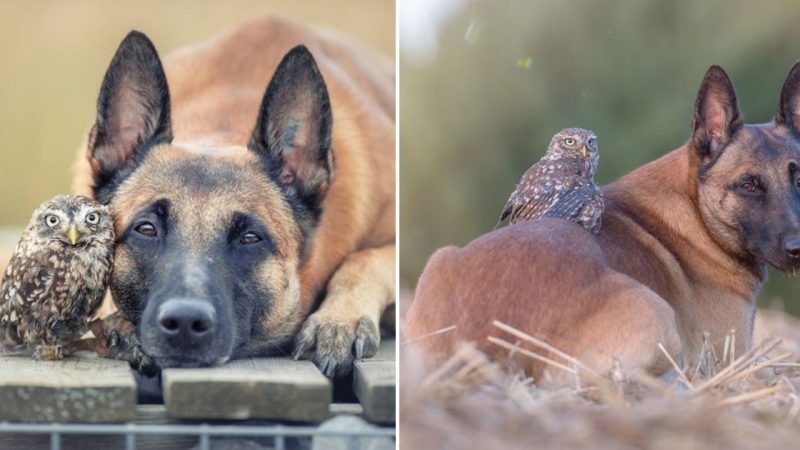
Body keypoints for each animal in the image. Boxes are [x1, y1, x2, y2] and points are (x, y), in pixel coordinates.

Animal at [71, 16, 394, 376]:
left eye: (250, 237)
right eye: (146, 229)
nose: (184, 322)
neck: (221, 125)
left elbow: (366, 259)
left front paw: (338, 320)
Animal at [404, 63, 800, 384]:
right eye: (748, 185)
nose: (798, 249)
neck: (696, 210)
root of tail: (482, 341)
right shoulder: (735, 359)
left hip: (441, 258)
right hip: (655, 312)